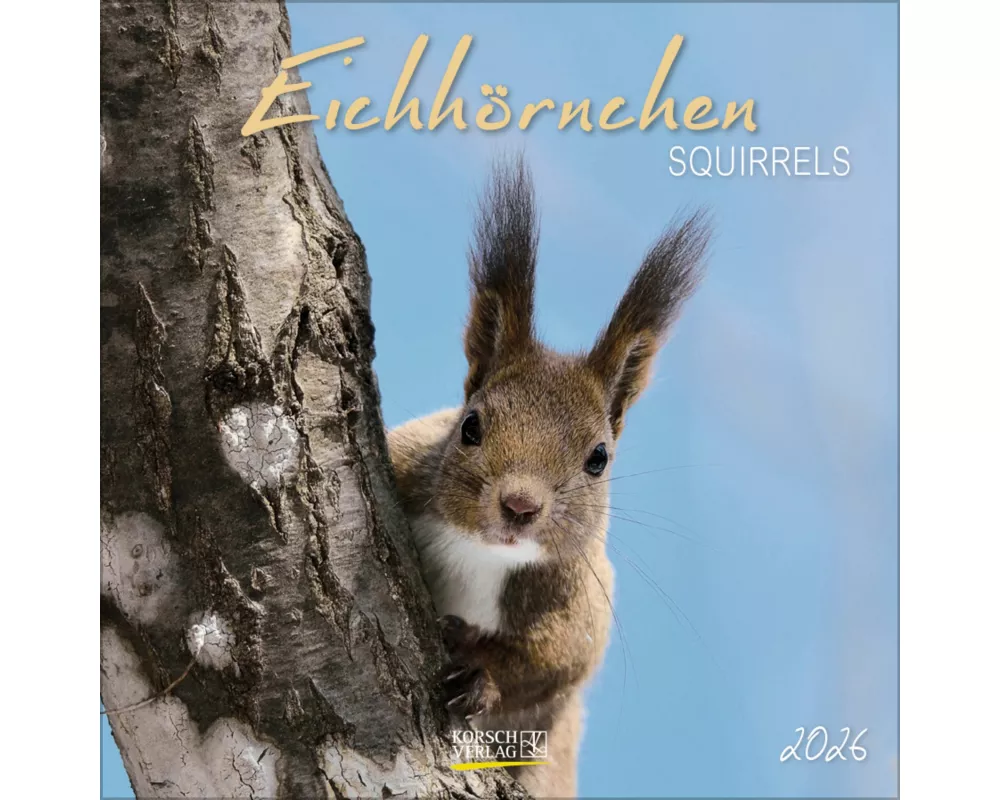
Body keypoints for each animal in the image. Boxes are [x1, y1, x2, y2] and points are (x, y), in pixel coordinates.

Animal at [387, 156, 710, 798]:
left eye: (599, 458)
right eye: (470, 425)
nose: (519, 506)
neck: (486, 554)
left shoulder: (582, 604)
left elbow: (551, 666)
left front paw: (480, 672)